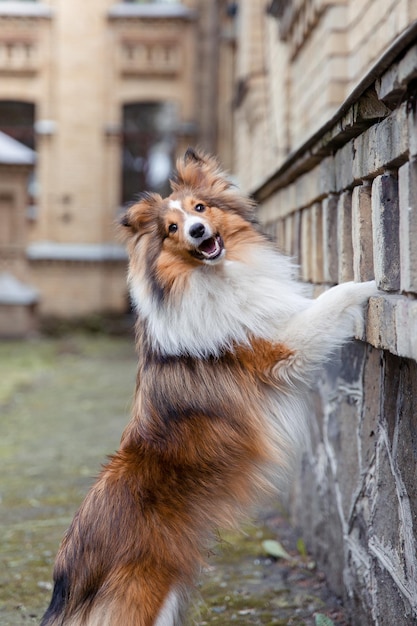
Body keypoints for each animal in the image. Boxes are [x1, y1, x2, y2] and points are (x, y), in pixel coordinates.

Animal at [40, 149, 376, 620]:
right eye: (171, 229)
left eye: (199, 208)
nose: (197, 231)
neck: (213, 276)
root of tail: (67, 571)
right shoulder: (283, 349)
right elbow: (332, 298)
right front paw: (373, 284)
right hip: (144, 595)